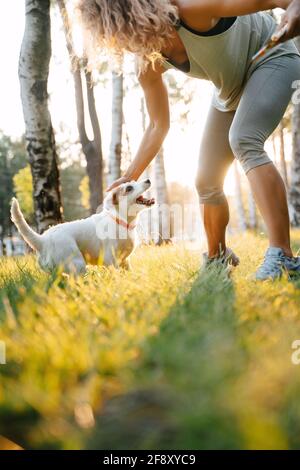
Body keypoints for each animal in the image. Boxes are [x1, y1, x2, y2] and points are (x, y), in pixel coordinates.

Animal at [10, 180, 155, 276]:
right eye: (129, 188)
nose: (148, 180)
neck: (120, 221)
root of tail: (42, 241)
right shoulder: (110, 260)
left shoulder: (125, 261)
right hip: (78, 264)